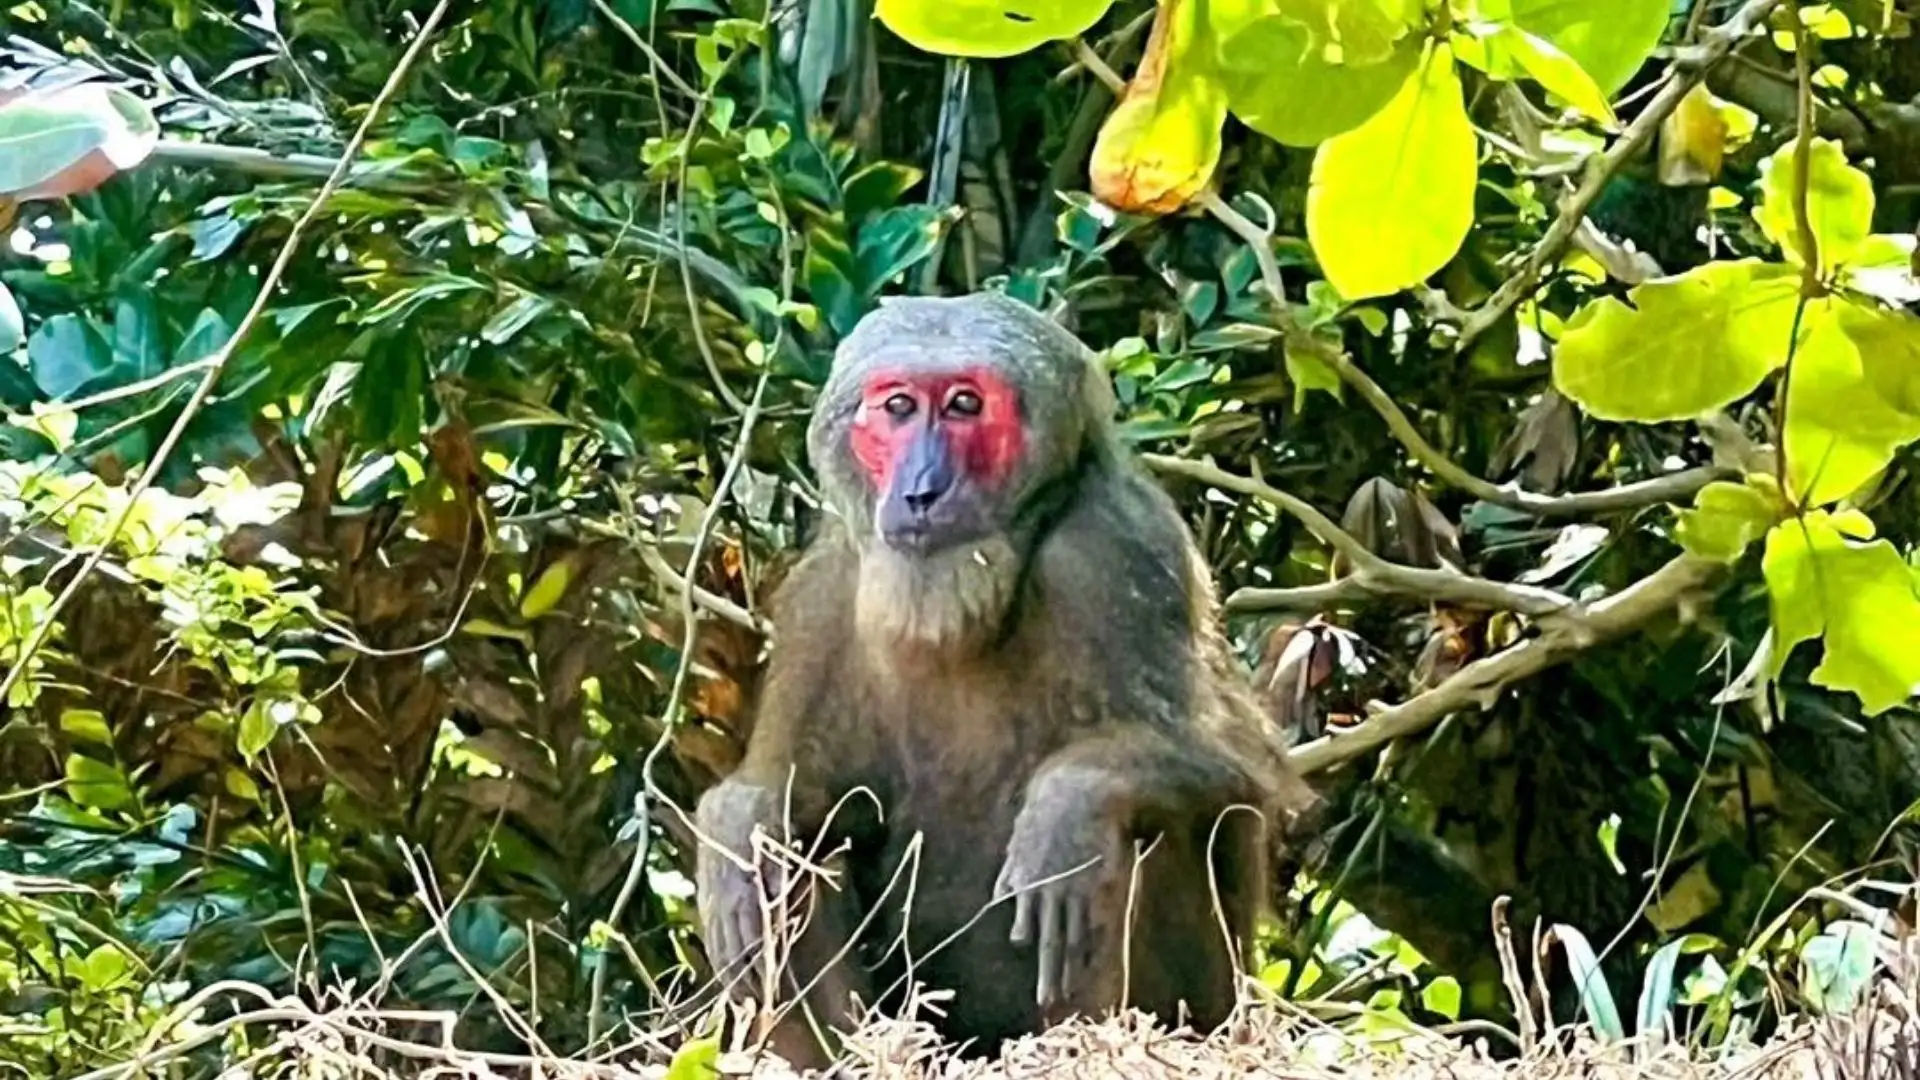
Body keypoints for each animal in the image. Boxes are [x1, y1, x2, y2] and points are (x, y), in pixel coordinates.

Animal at [692, 292, 1316, 1067]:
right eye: (899, 407)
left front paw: (1070, 800)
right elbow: (797, 799)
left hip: (1207, 1013)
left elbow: (1236, 769)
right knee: (801, 853)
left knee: (1128, 833)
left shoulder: (1120, 555)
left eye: (965, 405)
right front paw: (736, 818)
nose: (922, 489)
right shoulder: (822, 598)